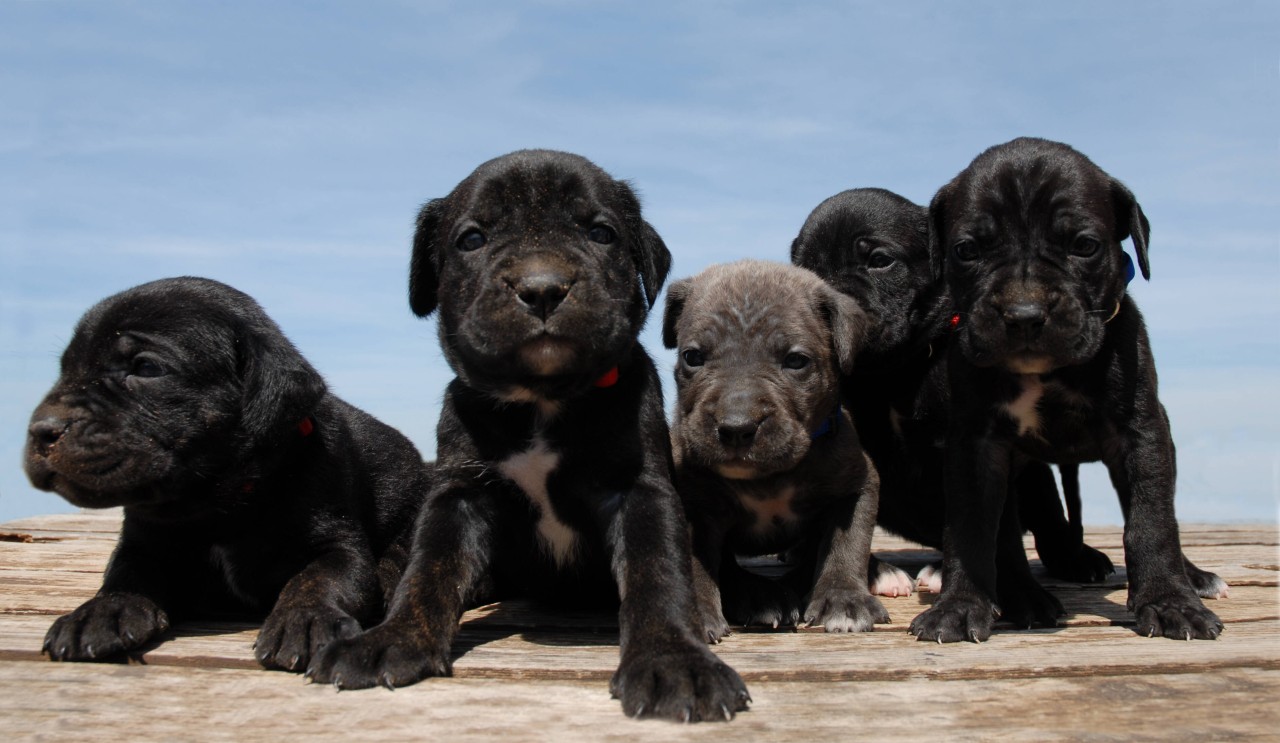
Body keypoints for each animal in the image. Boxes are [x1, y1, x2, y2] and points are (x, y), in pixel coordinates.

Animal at [22, 279, 427, 671]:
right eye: (65, 369)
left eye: (147, 368)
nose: (41, 429)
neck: (218, 505)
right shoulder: (143, 544)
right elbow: (124, 576)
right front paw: (99, 612)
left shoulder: (337, 544)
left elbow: (321, 578)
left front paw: (306, 619)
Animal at [309, 147, 747, 722]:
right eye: (472, 239)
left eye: (602, 233)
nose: (541, 287)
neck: (542, 400)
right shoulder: (460, 493)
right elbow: (429, 568)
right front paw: (395, 637)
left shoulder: (639, 491)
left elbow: (657, 574)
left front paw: (673, 658)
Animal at [665, 260, 885, 637]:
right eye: (692, 357)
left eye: (796, 361)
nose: (736, 426)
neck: (768, 477)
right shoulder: (693, 499)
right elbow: (695, 560)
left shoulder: (857, 483)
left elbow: (847, 541)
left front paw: (844, 599)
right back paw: (761, 596)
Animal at [911, 139, 1228, 643]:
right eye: (966, 250)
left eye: (1084, 245)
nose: (1023, 314)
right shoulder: (976, 445)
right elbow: (972, 526)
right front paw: (960, 605)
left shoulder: (1141, 434)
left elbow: (1152, 520)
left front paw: (1169, 600)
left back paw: (1191, 576)